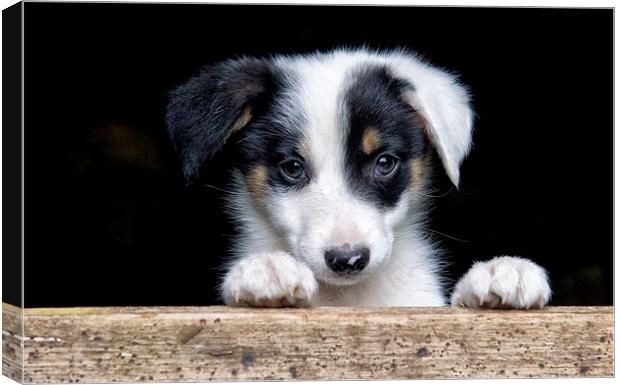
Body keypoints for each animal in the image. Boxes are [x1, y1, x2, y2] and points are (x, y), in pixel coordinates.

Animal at [166, 48, 552, 308]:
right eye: (292, 167)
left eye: (384, 162)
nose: (347, 260)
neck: (347, 297)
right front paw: (267, 269)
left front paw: (498, 273)